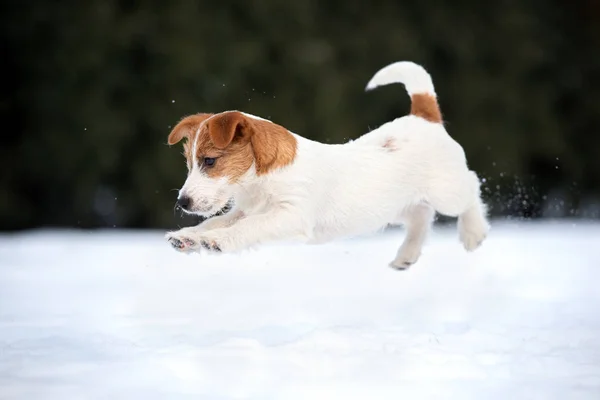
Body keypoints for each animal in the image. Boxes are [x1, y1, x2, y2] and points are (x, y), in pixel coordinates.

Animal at [163, 61, 488, 268]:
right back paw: (406, 255)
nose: (182, 202)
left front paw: (217, 240)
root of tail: (424, 117)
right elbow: (215, 221)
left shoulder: (290, 214)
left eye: (209, 161)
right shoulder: (244, 210)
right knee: (421, 216)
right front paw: (189, 237)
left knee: (471, 187)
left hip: (447, 192)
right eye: (189, 163)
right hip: (396, 204)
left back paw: (473, 233)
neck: (258, 182)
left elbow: (248, 227)